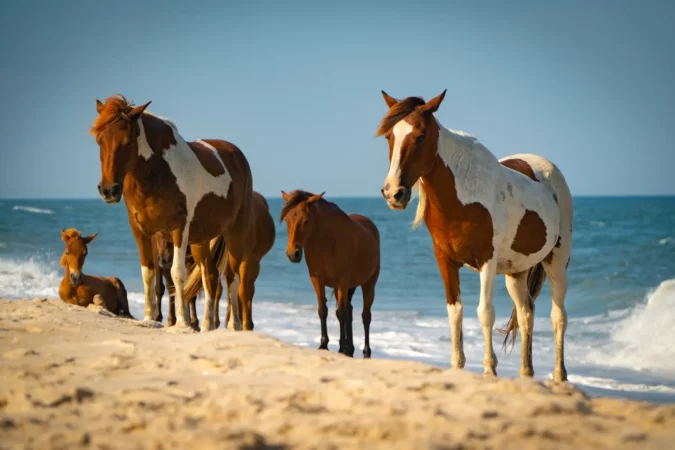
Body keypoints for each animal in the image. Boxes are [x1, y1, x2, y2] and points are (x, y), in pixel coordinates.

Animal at [91, 95, 253, 331]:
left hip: (235, 233)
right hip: (201, 240)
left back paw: (233, 326)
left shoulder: (179, 229)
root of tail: (237, 155)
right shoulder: (140, 230)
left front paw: (183, 322)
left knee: (232, 277)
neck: (157, 172)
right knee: (210, 275)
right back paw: (207, 326)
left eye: (127, 141)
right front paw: (149, 317)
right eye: (99, 141)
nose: (109, 190)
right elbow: (148, 272)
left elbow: (178, 274)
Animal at [280, 190, 380, 358]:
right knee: (350, 311)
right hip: (349, 287)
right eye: (287, 219)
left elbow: (341, 312)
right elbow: (323, 310)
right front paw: (324, 344)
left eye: (306, 220)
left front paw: (339, 347)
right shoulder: (317, 279)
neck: (326, 241)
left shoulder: (342, 281)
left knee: (365, 316)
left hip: (368, 284)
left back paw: (365, 351)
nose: (292, 254)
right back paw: (350, 348)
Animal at [377, 90, 573, 382]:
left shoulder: (486, 260)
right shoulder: (444, 260)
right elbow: (454, 311)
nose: (393, 193)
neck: (463, 197)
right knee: (526, 313)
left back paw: (559, 375)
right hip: (517, 271)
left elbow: (485, 313)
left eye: (420, 136)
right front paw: (457, 365)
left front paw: (489, 368)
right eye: (390, 136)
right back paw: (526, 373)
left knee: (558, 316)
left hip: (556, 261)